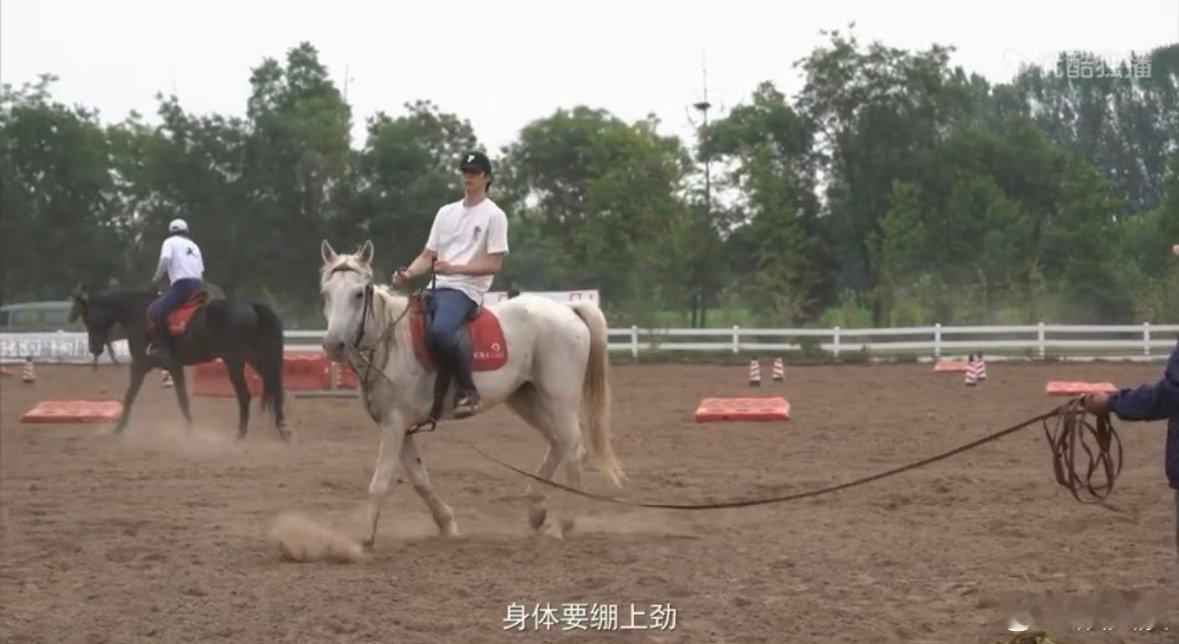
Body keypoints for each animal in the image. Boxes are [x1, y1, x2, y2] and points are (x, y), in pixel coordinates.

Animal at [69, 289, 289, 440]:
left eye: (87, 318)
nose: (94, 348)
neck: (137, 313)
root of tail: (252, 307)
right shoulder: (174, 367)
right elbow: (183, 400)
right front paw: (190, 430)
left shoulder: (140, 365)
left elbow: (130, 395)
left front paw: (117, 429)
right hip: (257, 358)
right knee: (275, 387)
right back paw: (282, 430)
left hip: (234, 361)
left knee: (245, 395)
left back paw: (241, 435)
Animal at [318, 240, 623, 545]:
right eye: (326, 293)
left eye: (359, 294)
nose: (334, 345)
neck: (392, 344)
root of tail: (568, 309)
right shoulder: (400, 426)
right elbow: (420, 480)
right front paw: (447, 525)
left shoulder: (394, 423)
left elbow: (380, 481)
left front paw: (364, 539)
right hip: (526, 398)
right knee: (558, 442)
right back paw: (536, 508)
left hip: (559, 400)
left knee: (573, 450)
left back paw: (561, 526)